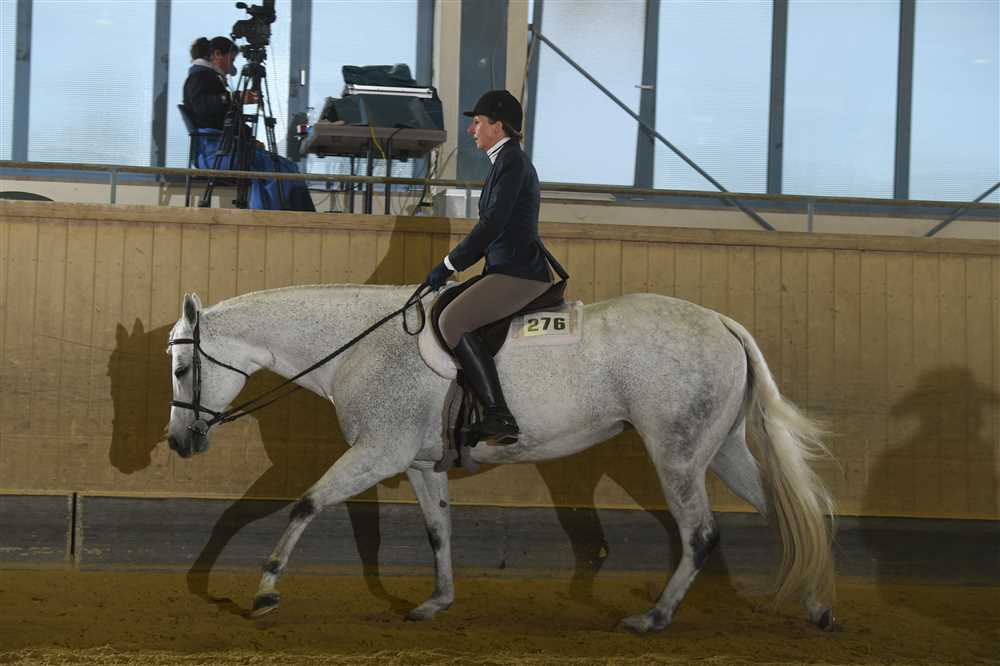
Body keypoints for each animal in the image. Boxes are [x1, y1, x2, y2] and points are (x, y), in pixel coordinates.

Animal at [165, 284, 837, 633]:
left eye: (180, 368)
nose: (177, 444)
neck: (358, 346)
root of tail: (722, 322)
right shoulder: (419, 464)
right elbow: (438, 532)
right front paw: (436, 602)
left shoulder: (377, 452)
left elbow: (305, 504)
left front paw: (265, 592)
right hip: (719, 450)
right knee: (785, 515)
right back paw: (817, 605)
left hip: (675, 453)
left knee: (699, 532)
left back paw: (654, 617)